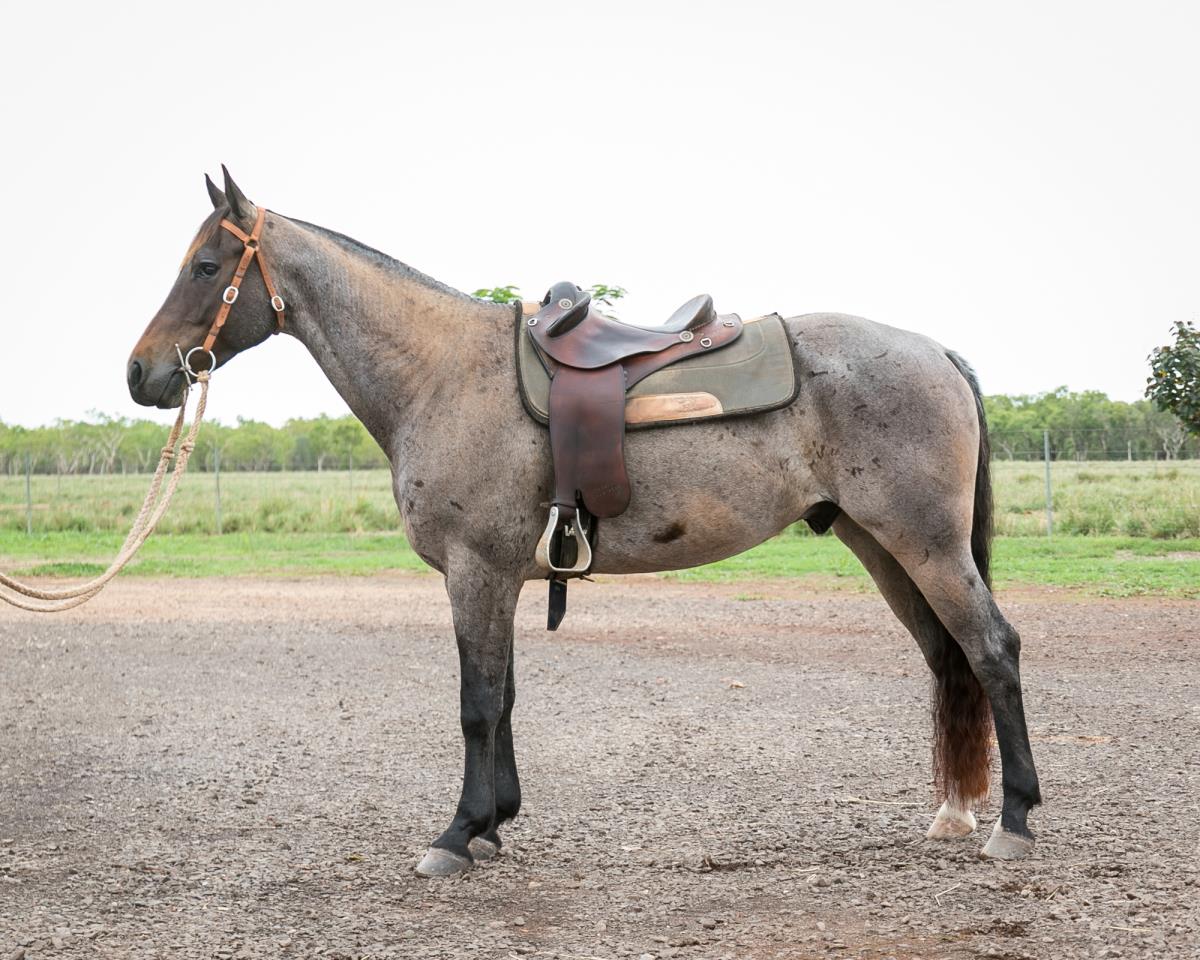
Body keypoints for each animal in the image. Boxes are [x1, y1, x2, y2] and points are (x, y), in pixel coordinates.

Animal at [126, 168, 1041, 877]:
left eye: (205, 266)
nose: (140, 373)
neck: (444, 373)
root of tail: (935, 352)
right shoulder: (503, 574)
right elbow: (504, 698)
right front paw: (494, 824)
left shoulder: (476, 571)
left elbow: (475, 704)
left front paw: (456, 835)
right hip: (883, 545)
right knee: (947, 658)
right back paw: (958, 810)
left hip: (926, 545)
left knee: (992, 650)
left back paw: (1014, 821)